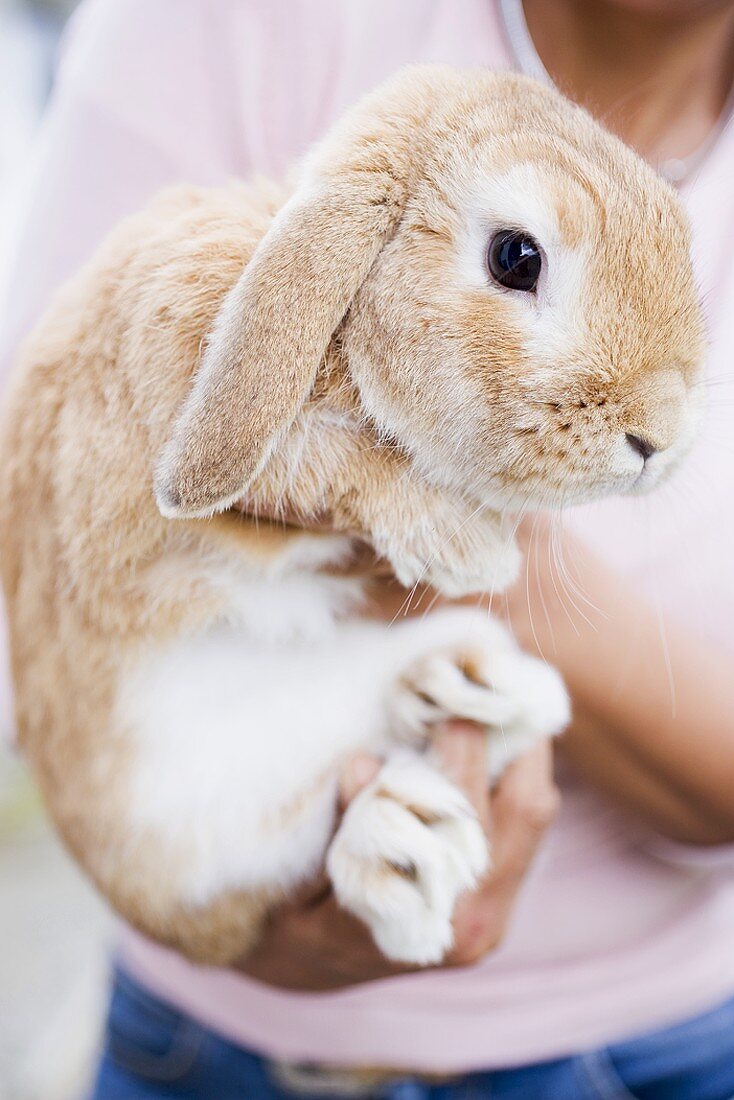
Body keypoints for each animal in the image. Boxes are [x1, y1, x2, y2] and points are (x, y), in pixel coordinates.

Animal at [0, 64, 704, 968]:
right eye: (516, 256)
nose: (661, 438)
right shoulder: (173, 393)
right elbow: (328, 461)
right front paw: (468, 548)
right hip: (178, 816)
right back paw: (406, 841)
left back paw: (473, 690)